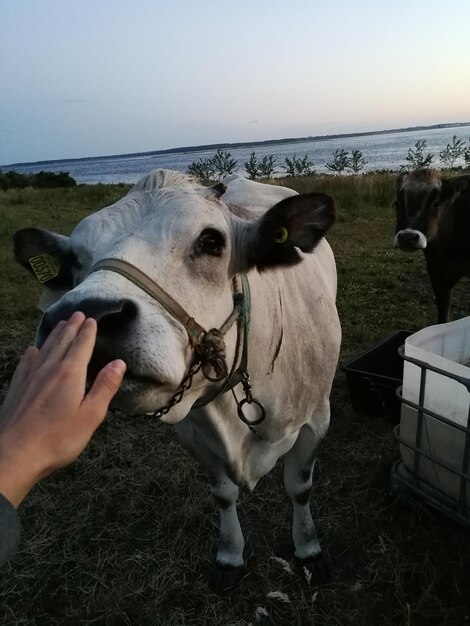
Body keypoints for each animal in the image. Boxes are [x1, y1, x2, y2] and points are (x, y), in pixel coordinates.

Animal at [12, 171, 340, 588]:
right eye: (73, 262)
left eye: (211, 241)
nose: (89, 316)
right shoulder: (193, 434)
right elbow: (222, 495)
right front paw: (230, 556)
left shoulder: (317, 420)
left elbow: (299, 488)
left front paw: (309, 550)